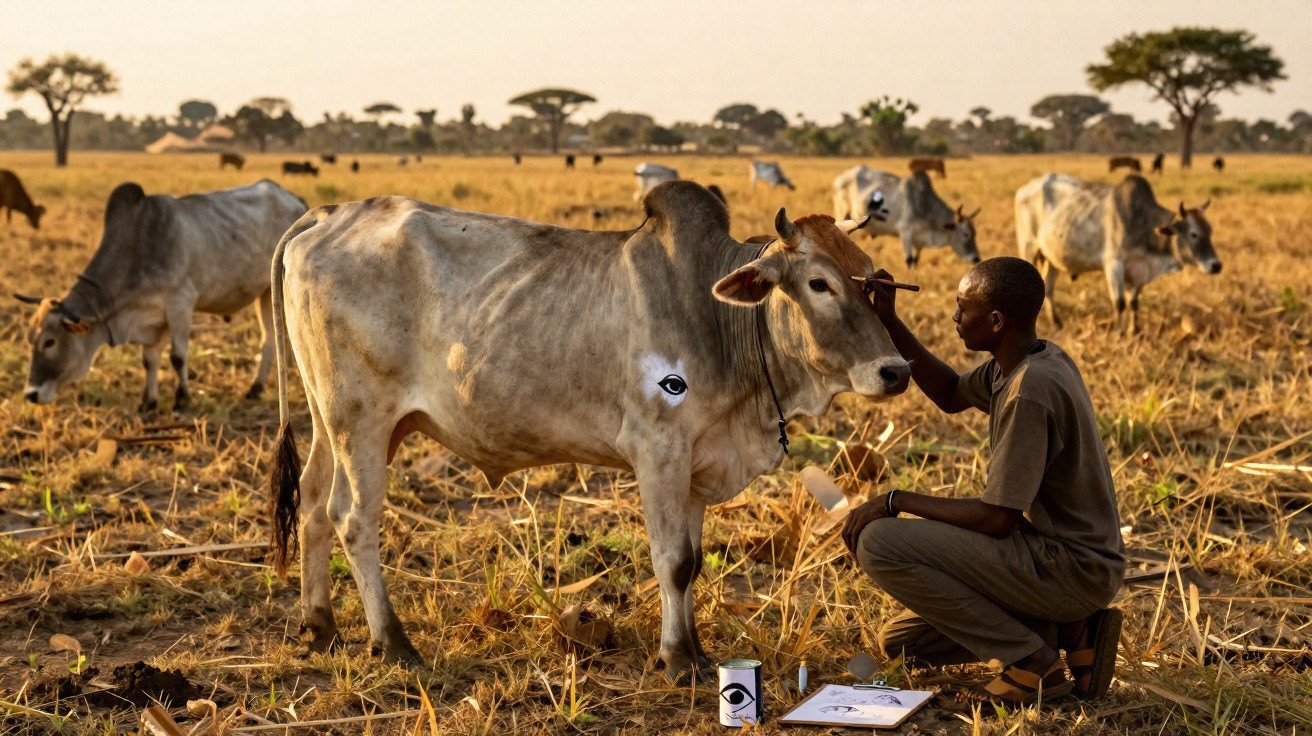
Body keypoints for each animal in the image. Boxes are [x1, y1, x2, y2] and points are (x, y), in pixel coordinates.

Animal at [15, 180, 307, 410]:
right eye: (29, 340)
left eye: (49, 342)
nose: (30, 395)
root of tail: (295, 199)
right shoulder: (151, 321)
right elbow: (149, 361)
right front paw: (149, 401)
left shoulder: (180, 304)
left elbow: (178, 357)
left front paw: (182, 399)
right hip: (265, 292)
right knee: (270, 339)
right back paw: (255, 388)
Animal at [264, 181, 911, 681]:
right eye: (819, 283)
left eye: (872, 281)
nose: (896, 371)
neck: (721, 319)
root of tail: (326, 214)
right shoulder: (659, 449)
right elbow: (674, 560)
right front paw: (678, 660)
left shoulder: (697, 462)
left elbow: (693, 564)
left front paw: (696, 651)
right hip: (362, 421)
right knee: (354, 519)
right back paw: (394, 644)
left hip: (336, 420)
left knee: (316, 505)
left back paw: (320, 625)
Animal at [832, 166, 979, 268]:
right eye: (966, 234)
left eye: (975, 234)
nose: (976, 258)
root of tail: (839, 179)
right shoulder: (906, 232)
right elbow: (909, 261)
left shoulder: (918, 241)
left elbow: (915, 260)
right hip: (841, 214)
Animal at [1015, 173, 1220, 334]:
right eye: (1194, 234)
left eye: (1210, 231)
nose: (1216, 265)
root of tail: (1025, 189)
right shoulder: (1114, 263)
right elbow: (1120, 302)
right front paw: (1118, 333)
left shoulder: (1137, 271)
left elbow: (1134, 302)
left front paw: (1134, 330)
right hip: (1029, 248)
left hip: (1053, 259)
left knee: (1048, 288)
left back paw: (1057, 323)